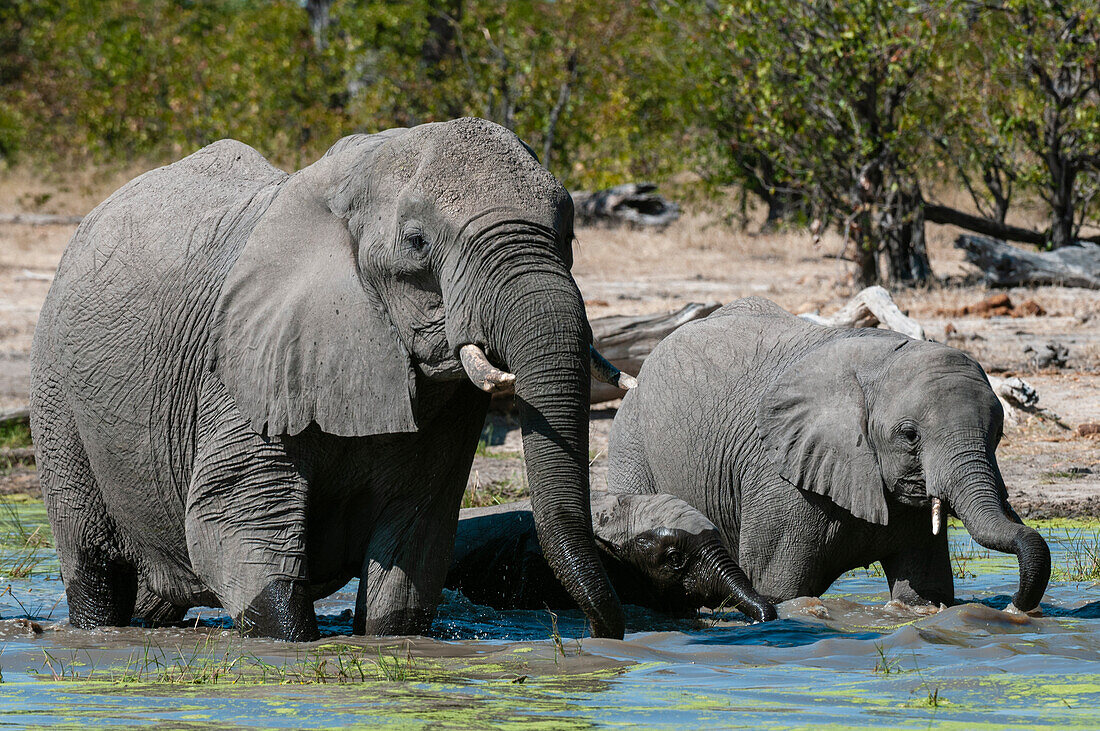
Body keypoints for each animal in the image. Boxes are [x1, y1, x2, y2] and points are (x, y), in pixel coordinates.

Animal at [27, 118, 629, 637]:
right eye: (417, 242)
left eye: (570, 234)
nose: (602, 636)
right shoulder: (247, 362)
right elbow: (235, 522)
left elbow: (413, 542)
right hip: (55, 388)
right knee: (95, 568)